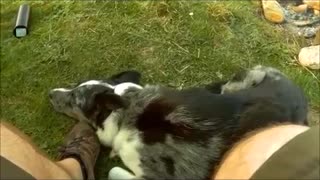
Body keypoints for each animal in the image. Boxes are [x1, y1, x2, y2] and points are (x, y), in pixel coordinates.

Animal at [50, 65, 310, 179]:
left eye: (74, 99)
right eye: (75, 86)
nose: (50, 93)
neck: (128, 112)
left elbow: (115, 171)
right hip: (245, 78)